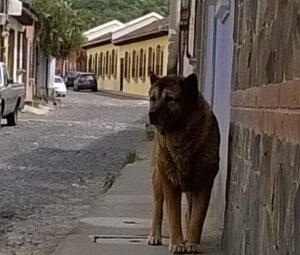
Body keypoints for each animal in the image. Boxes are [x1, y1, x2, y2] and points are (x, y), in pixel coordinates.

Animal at [148, 72, 220, 254]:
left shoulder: (204, 184)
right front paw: (177, 243)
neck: (181, 139)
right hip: (158, 179)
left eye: (170, 99)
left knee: (189, 212)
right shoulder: (170, 183)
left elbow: (197, 217)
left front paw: (192, 243)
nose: (151, 113)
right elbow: (173, 216)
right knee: (157, 208)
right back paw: (155, 236)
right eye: (152, 98)